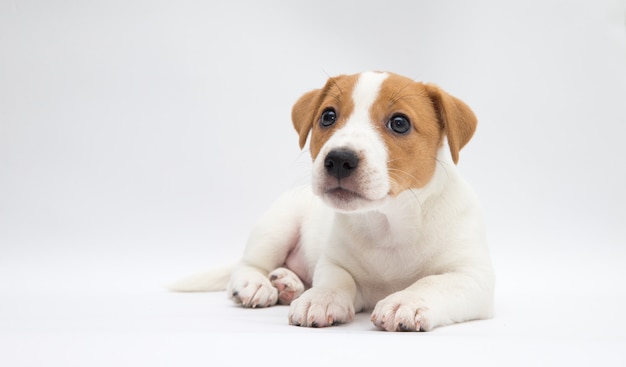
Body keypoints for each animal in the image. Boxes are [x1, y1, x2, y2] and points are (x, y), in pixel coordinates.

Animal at [171, 70, 492, 332]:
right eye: (328, 116)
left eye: (399, 123)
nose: (339, 159)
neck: (388, 222)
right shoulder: (334, 262)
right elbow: (337, 280)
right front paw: (321, 298)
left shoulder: (472, 277)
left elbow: (433, 282)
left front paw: (407, 301)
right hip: (276, 225)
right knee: (247, 264)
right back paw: (258, 284)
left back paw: (288, 284)